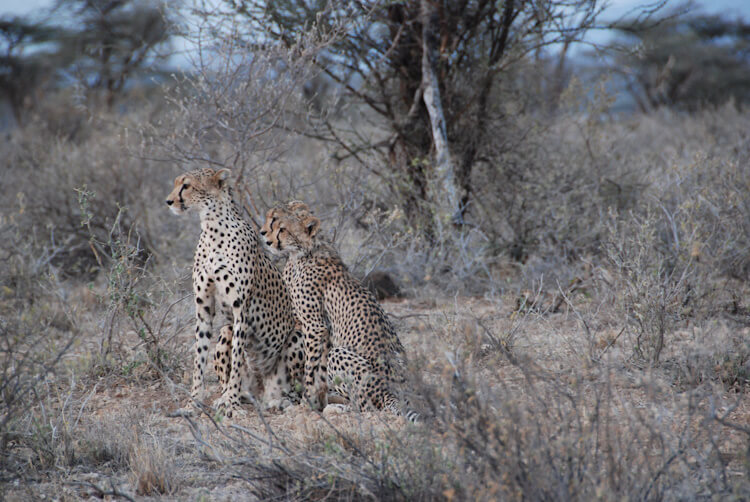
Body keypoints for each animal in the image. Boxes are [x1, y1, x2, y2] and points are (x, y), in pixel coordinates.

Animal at [167, 169, 300, 416]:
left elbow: (238, 358)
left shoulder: (242, 311)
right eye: (176, 183)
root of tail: (262, 392)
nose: (169, 201)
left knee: (296, 392)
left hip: (296, 337)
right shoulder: (204, 309)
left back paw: (278, 401)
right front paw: (193, 402)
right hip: (225, 331)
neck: (212, 228)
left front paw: (231, 403)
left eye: (186, 185)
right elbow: (199, 359)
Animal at [262, 200, 420, 420]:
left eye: (281, 228)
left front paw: (304, 405)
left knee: (366, 406)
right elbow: (317, 372)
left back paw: (337, 408)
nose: (266, 239)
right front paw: (313, 402)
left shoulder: (315, 326)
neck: (304, 252)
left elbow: (310, 371)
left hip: (340, 356)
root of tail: (395, 394)